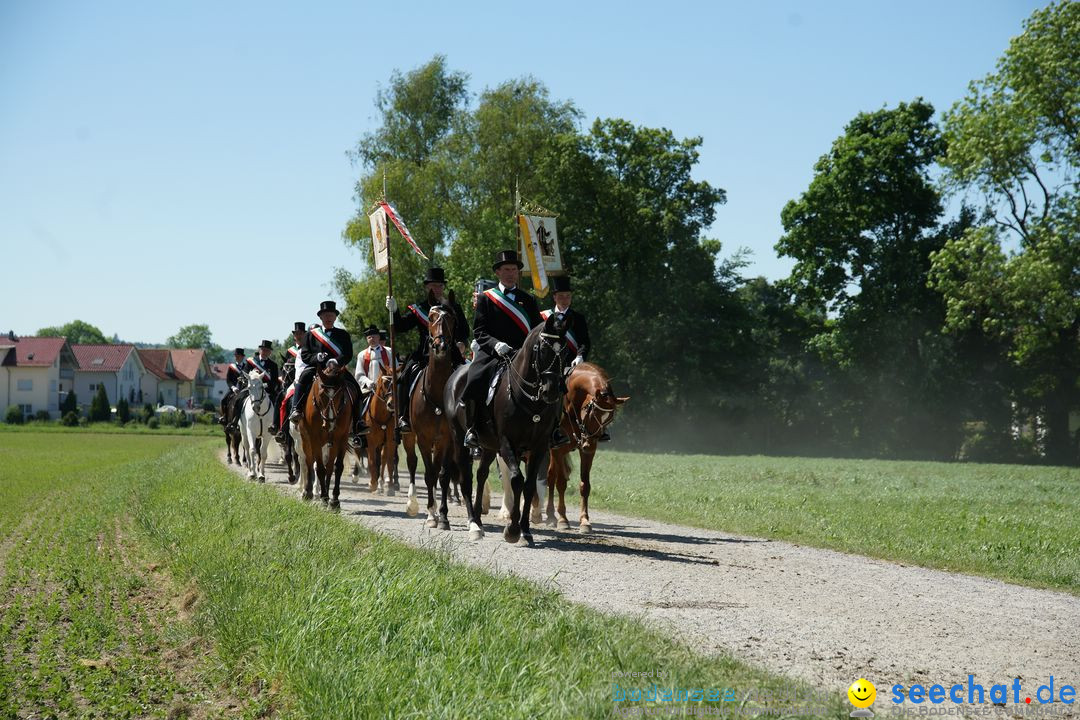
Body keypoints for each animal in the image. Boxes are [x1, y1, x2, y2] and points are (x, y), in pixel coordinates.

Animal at [295, 358, 354, 507]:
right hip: (306, 439)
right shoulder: (314, 439)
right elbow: (320, 468)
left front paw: (334, 500)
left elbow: (337, 467)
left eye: (340, 393)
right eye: (321, 394)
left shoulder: (342, 438)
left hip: (330, 443)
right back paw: (308, 492)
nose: (330, 424)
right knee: (309, 462)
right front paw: (324, 498)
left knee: (329, 466)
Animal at [544, 362, 630, 533]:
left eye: (609, 419)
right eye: (591, 412)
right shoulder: (558, 450)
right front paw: (562, 519)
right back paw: (545, 514)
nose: (587, 443)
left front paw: (584, 521)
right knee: (550, 477)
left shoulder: (588, 452)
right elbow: (560, 483)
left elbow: (585, 486)